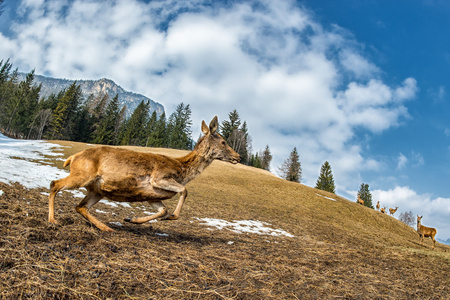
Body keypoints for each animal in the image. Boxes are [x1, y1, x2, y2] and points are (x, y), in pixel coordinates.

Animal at [48, 115, 241, 232]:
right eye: (223, 142)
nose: (238, 157)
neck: (182, 170)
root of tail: (72, 157)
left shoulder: (152, 195)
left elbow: (163, 210)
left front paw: (132, 219)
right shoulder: (159, 178)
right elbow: (184, 191)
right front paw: (172, 216)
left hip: (97, 190)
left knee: (80, 206)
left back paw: (106, 227)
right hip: (82, 174)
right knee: (54, 184)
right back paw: (53, 220)